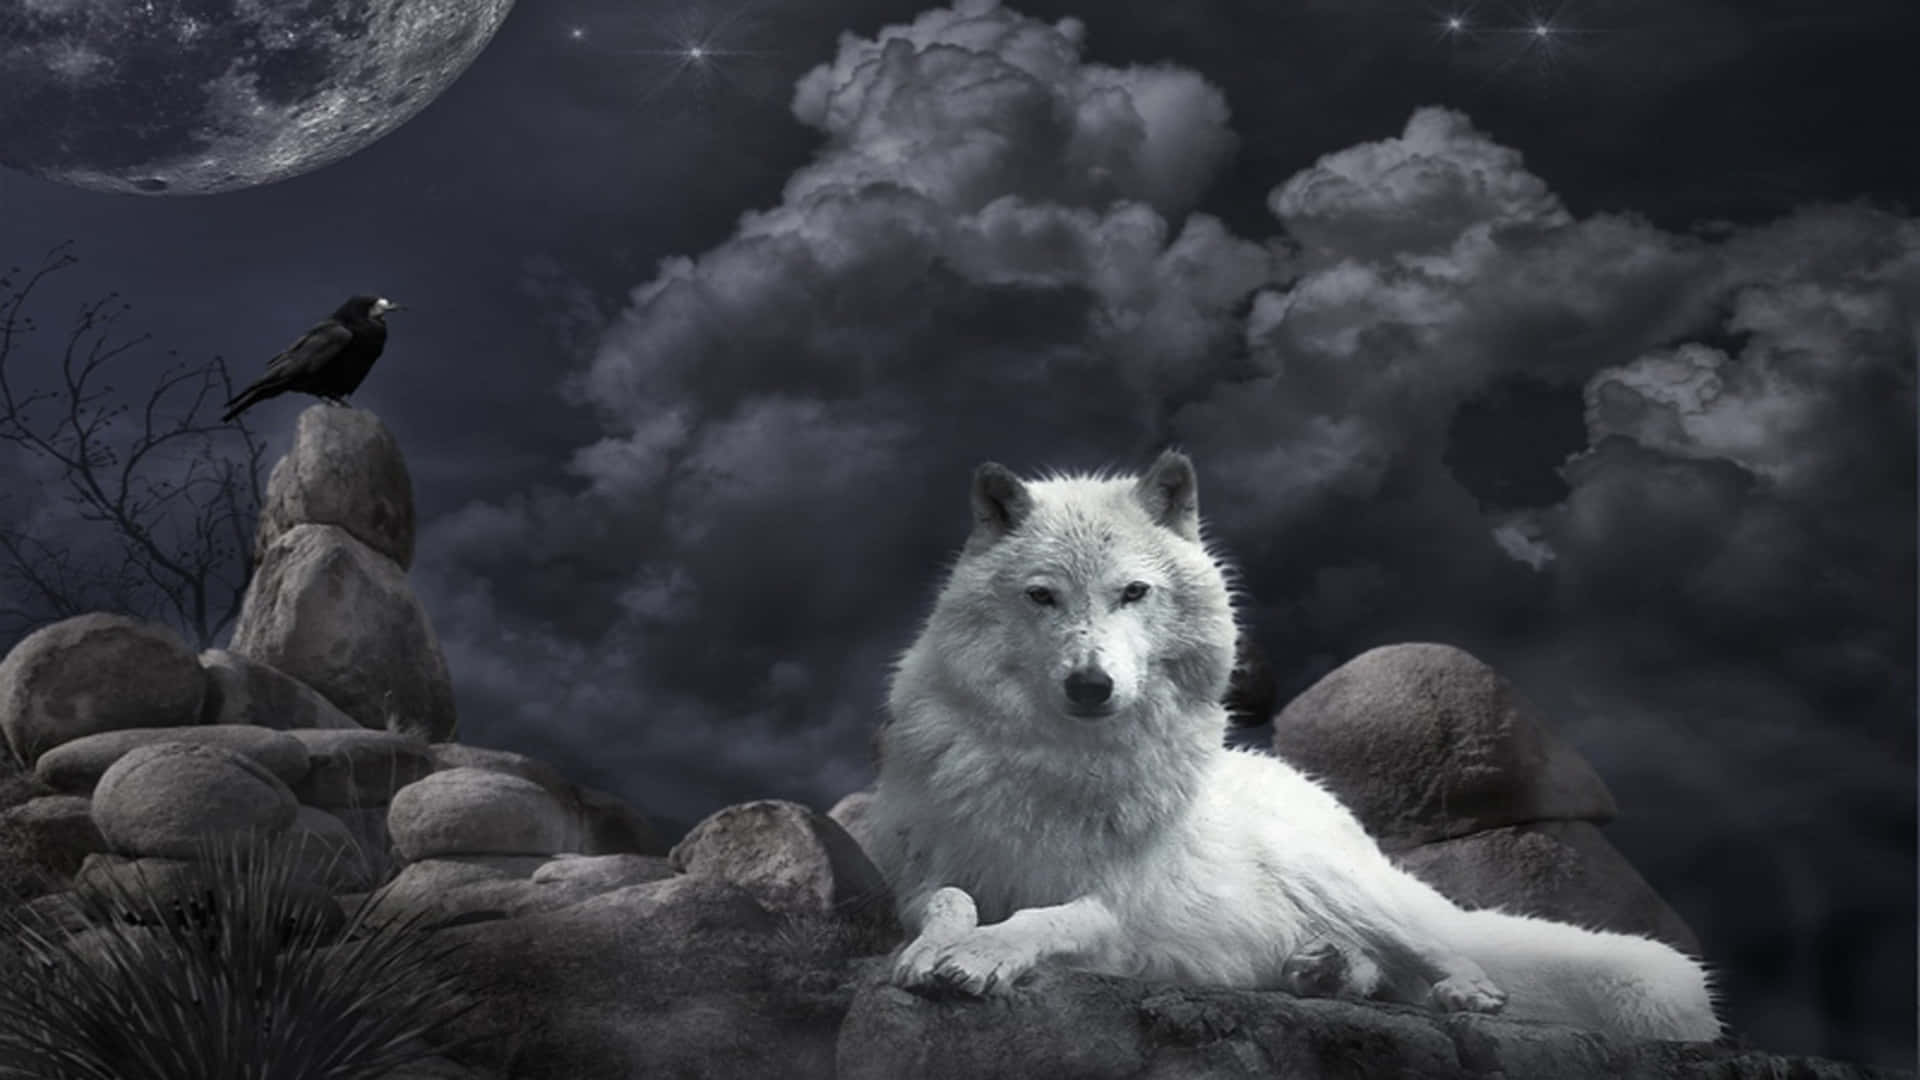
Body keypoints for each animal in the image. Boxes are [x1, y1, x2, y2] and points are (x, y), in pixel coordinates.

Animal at [864, 450, 1720, 1042]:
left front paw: (980, 957)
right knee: (1378, 972)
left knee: (1434, 949)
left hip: (1340, 878)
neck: (1059, 765)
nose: (1091, 685)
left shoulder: (1120, 909)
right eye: (1042, 596)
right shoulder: (923, 873)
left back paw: (1460, 989)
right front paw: (932, 951)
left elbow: (1046, 919)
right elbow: (949, 902)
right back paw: (1321, 969)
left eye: (1133, 592)